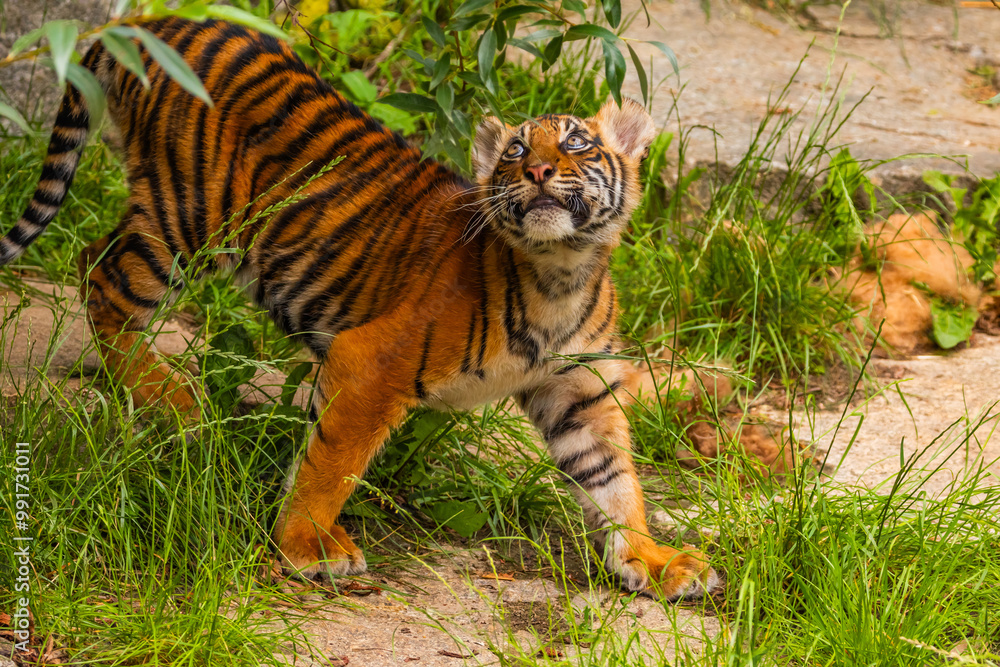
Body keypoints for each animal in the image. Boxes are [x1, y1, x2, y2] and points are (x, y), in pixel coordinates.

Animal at [0, 16, 719, 600]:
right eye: (516, 151)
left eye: (574, 145)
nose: (537, 172)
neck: (559, 270)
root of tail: (158, 21)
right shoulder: (373, 363)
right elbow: (332, 461)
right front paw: (306, 545)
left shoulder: (579, 394)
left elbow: (614, 481)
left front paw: (654, 560)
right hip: (189, 217)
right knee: (99, 273)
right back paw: (172, 399)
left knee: (95, 261)